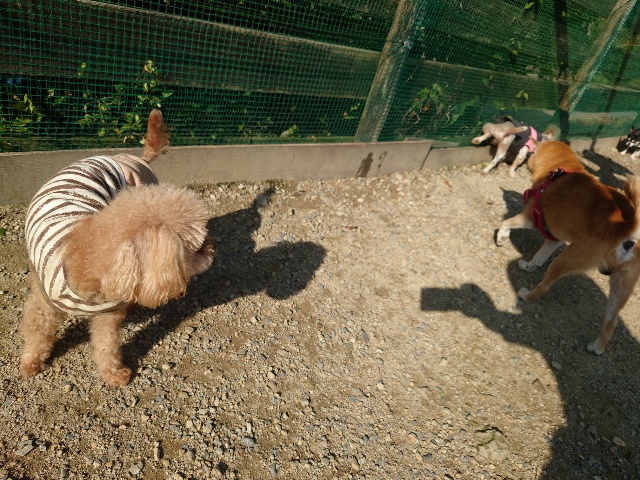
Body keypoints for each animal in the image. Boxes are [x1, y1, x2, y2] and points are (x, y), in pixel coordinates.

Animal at [20, 109, 215, 386]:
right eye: (196, 248)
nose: (211, 245)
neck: (85, 255)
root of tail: (135, 157)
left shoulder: (108, 315)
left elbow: (107, 344)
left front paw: (113, 373)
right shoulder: (43, 303)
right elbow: (37, 333)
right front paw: (31, 362)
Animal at [495, 140, 640, 354]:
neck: (559, 168)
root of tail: (629, 229)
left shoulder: (528, 219)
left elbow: (505, 223)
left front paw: (502, 237)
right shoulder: (554, 239)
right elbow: (539, 257)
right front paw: (528, 266)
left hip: (566, 259)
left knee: (545, 287)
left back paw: (526, 295)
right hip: (621, 286)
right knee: (612, 321)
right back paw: (597, 347)